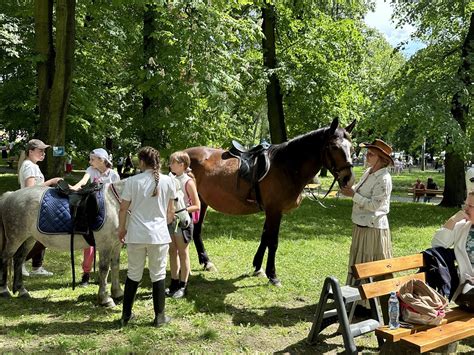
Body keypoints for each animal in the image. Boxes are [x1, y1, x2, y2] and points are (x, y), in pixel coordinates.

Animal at [185, 119, 356, 286]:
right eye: (334, 147)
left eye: (352, 148)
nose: (348, 179)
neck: (286, 166)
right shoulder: (274, 210)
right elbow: (273, 241)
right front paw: (272, 275)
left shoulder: (270, 210)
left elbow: (265, 237)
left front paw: (258, 267)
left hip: (202, 202)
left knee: (197, 230)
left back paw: (207, 262)